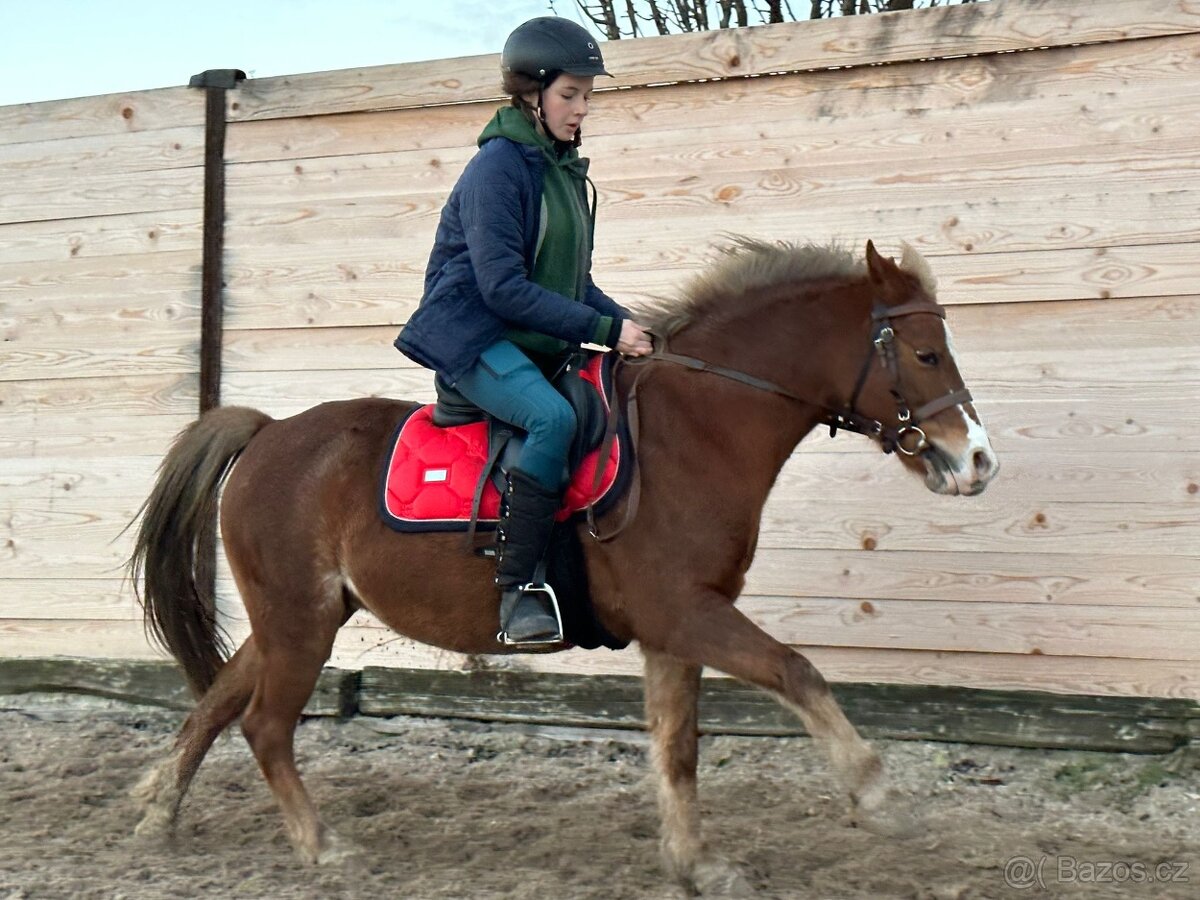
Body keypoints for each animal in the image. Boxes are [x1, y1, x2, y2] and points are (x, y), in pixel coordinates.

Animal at [128, 239, 999, 895]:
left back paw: (157, 815)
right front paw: (879, 796)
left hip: (295, 618)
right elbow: (797, 672)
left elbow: (678, 746)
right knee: (265, 726)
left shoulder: (674, 630)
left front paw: (696, 863)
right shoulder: (687, 612)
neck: (697, 429)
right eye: (926, 353)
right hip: (300, 622)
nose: (978, 462)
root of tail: (269, 432)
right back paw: (322, 847)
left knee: (218, 702)